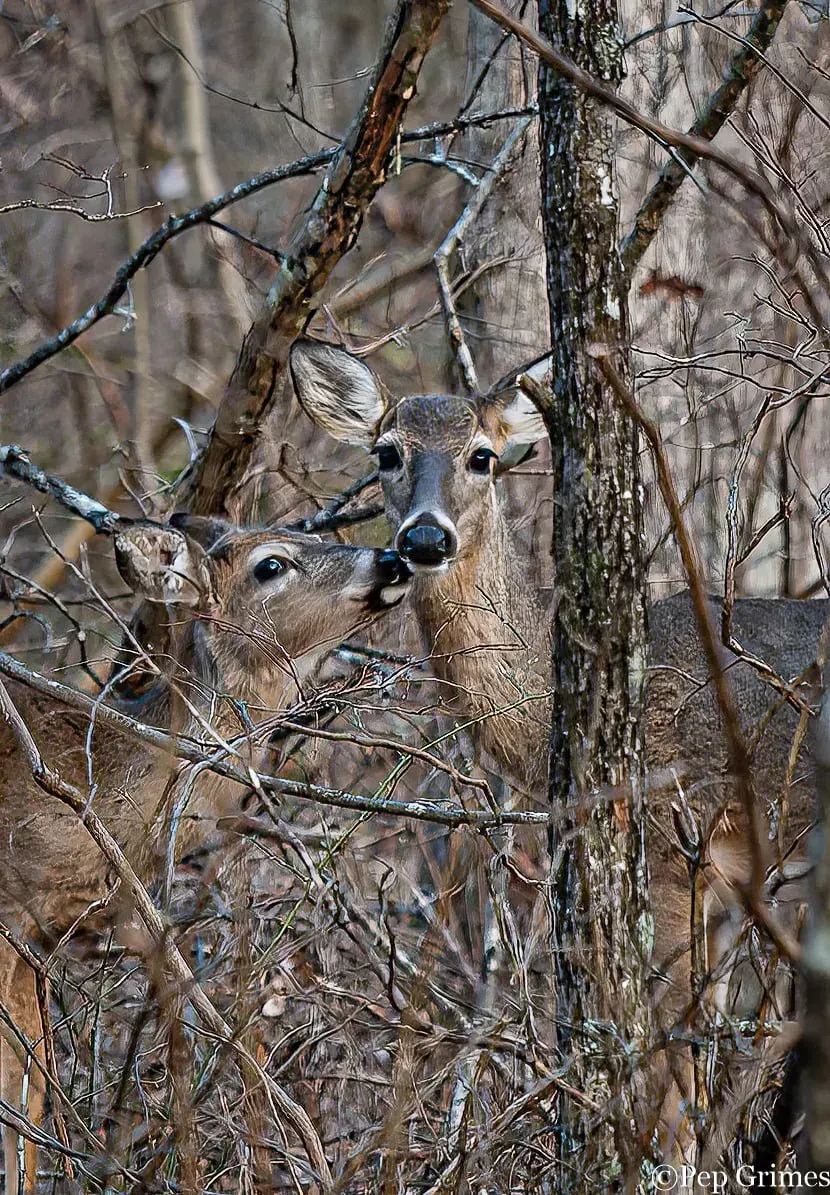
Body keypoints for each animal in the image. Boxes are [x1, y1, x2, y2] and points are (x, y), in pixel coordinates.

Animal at [0, 512, 409, 1195]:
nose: (393, 558)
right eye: (271, 564)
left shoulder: (46, 933)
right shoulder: (11, 911)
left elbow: (30, 1087)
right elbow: (15, 1082)